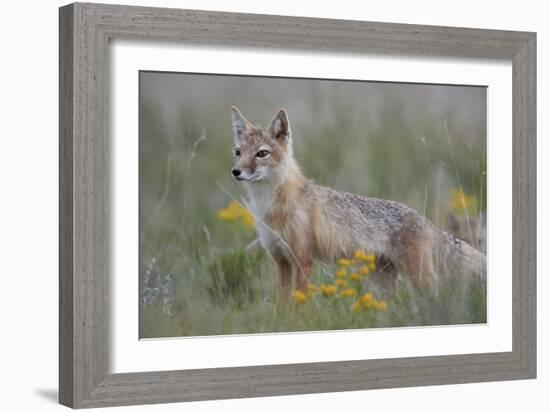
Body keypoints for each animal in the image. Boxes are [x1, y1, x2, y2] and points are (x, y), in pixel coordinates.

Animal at [231, 106, 490, 300]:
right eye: (238, 152)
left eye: (262, 154)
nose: (236, 172)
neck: (271, 206)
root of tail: (426, 221)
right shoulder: (281, 261)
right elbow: (281, 308)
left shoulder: (303, 260)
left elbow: (298, 305)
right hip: (384, 282)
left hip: (420, 279)